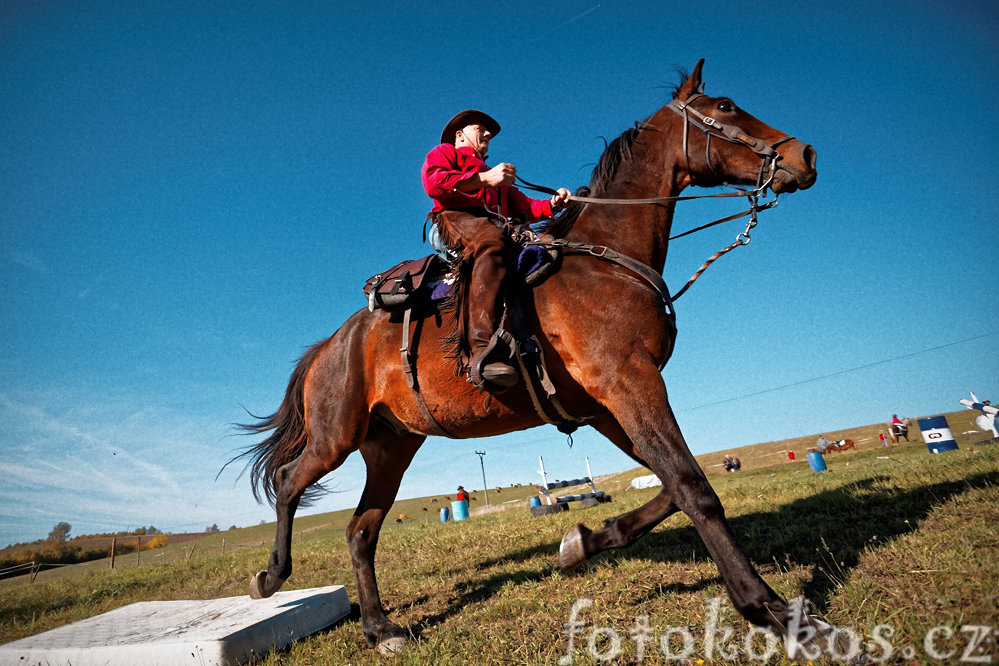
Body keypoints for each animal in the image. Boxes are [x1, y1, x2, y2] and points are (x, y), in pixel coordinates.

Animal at [232, 61, 820, 652]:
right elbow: (693, 487)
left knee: (360, 530)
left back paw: (380, 627)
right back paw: (272, 577)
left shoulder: (605, 406)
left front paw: (583, 541)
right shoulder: (630, 382)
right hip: (335, 439)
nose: (806, 154)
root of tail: (331, 344)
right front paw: (769, 608)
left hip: (391, 447)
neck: (606, 259)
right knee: (288, 483)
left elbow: (671, 483)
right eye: (724, 107)